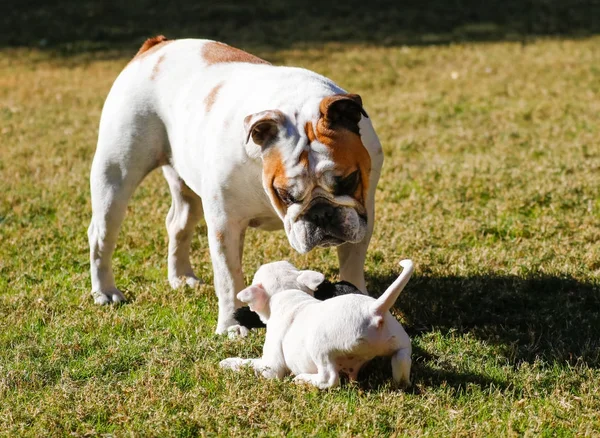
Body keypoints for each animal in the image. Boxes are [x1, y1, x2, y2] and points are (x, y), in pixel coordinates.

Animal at [219, 258, 412, 388]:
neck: (286, 292)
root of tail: (374, 310)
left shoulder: (271, 367)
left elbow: (250, 364)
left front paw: (228, 363)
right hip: (400, 342)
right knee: (402, 361)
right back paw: (401, 383)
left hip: (320, 346)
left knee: (329, 379)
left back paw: (303, 379)